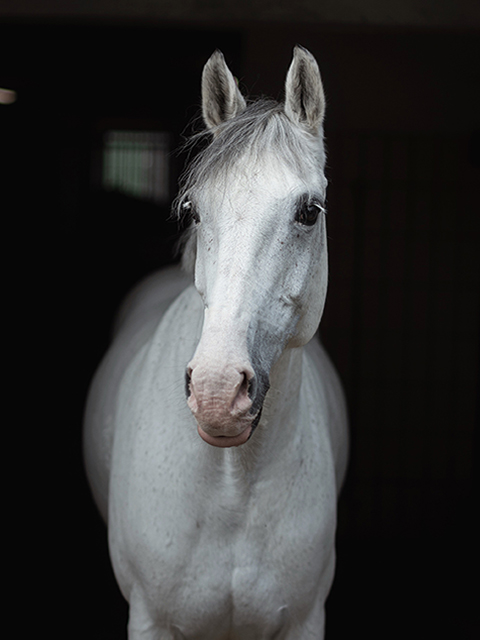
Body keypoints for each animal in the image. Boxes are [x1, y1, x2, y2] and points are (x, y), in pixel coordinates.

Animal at [84, 46, 348, 640]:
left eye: (309, 211)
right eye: (194, 210)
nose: (217, 392)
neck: (233, 486)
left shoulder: (305, 620)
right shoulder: (151, 620)